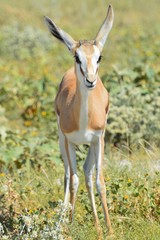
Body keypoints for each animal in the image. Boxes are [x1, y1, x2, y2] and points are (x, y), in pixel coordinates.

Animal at [44, 4, 114, 237]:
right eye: (77, 57)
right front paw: (70, 224)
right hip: (62, 142)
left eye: (99, 57)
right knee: (69, 175)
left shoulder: (98, 139)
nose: (90, 80)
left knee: (87, 173)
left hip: (92, 145)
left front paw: (109, 230)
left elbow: (99, 181)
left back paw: (97, 226)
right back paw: (63, 220)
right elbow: (73, 180)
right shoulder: (68, 141)